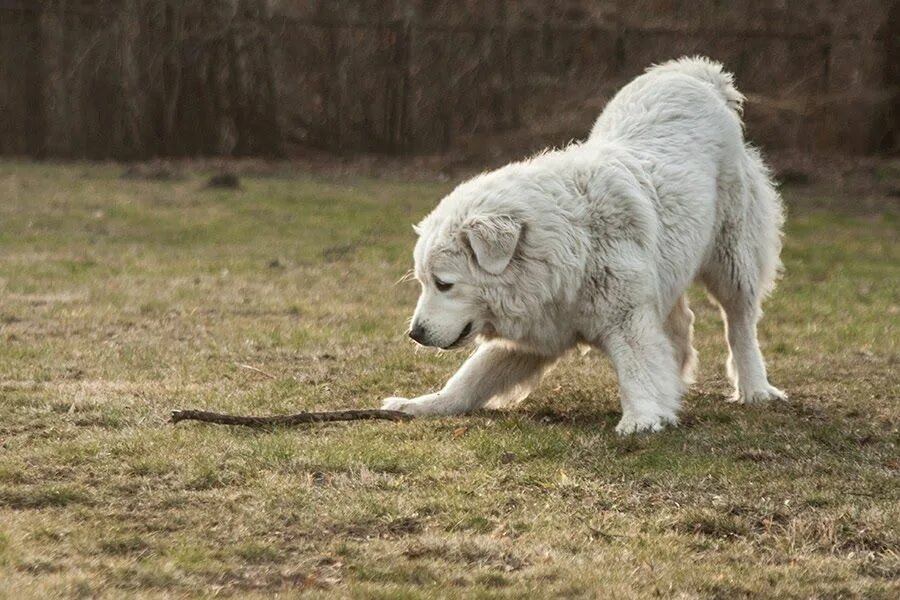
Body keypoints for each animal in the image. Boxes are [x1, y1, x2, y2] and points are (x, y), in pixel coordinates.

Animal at [384, 57, 784, 432]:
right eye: (424, 283)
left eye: (444, 284)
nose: (415, 333)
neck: (569, 247)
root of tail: (696, 76)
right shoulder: (537, 333)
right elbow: (471, 379)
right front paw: (422, 405)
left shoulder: (626, 318)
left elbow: (636, 369)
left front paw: (641, 418)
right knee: (682, 322)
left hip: (731, 257)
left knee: (740, 323)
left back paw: (754, 388)